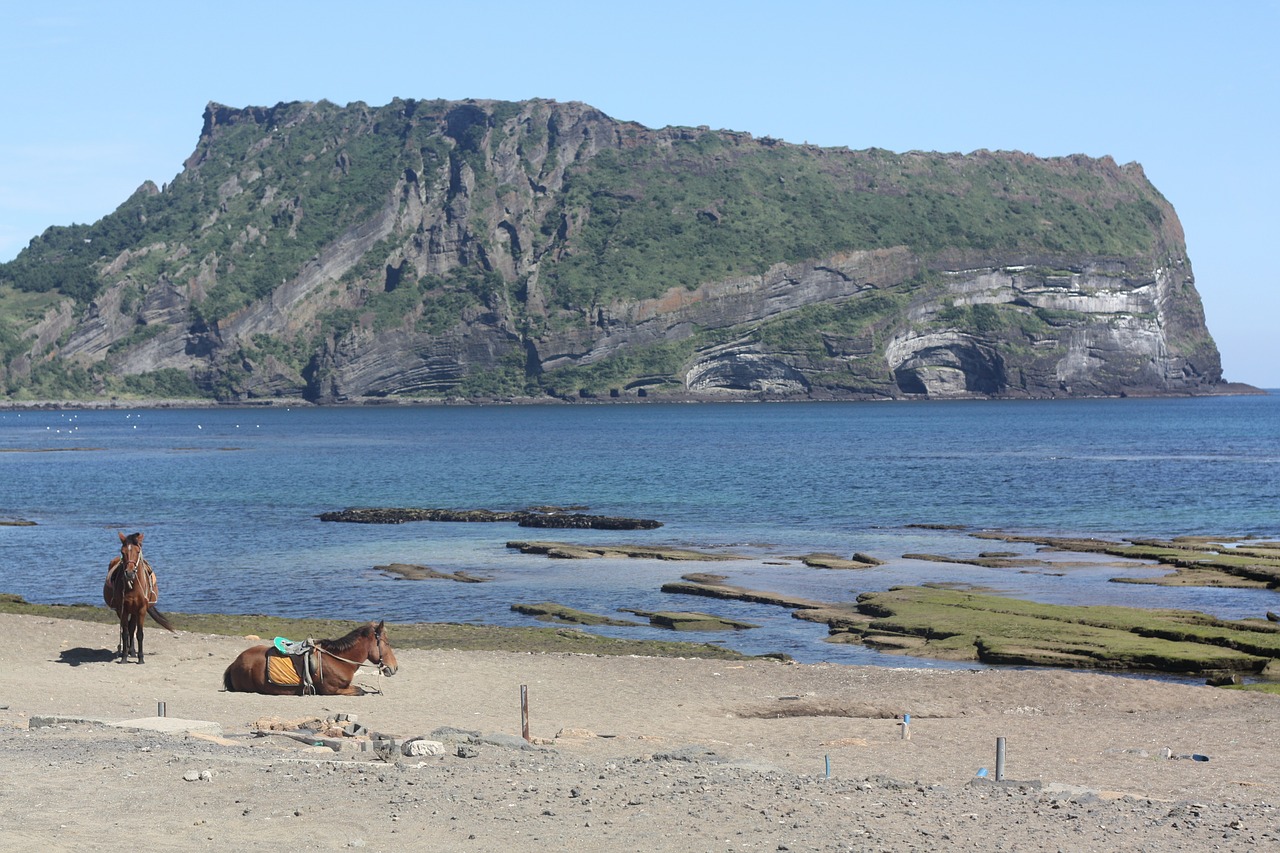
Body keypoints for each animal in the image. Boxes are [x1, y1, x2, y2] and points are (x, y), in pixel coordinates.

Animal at [101, 527, 175, 660]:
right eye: (122, 552)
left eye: (138, 551)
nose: (130, 573)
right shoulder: (123, 609)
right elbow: (124, 632)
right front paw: (124, 657)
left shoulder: (141, 609)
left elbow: (138, 633)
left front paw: (140, 657)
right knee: (127, 629)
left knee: (132, 628)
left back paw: (133, 651)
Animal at [222, 622, 396, 696]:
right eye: (387, 643)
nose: (395, 667)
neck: (338, 660)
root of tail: (235, 663)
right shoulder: (331, 690)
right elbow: (360, 691)